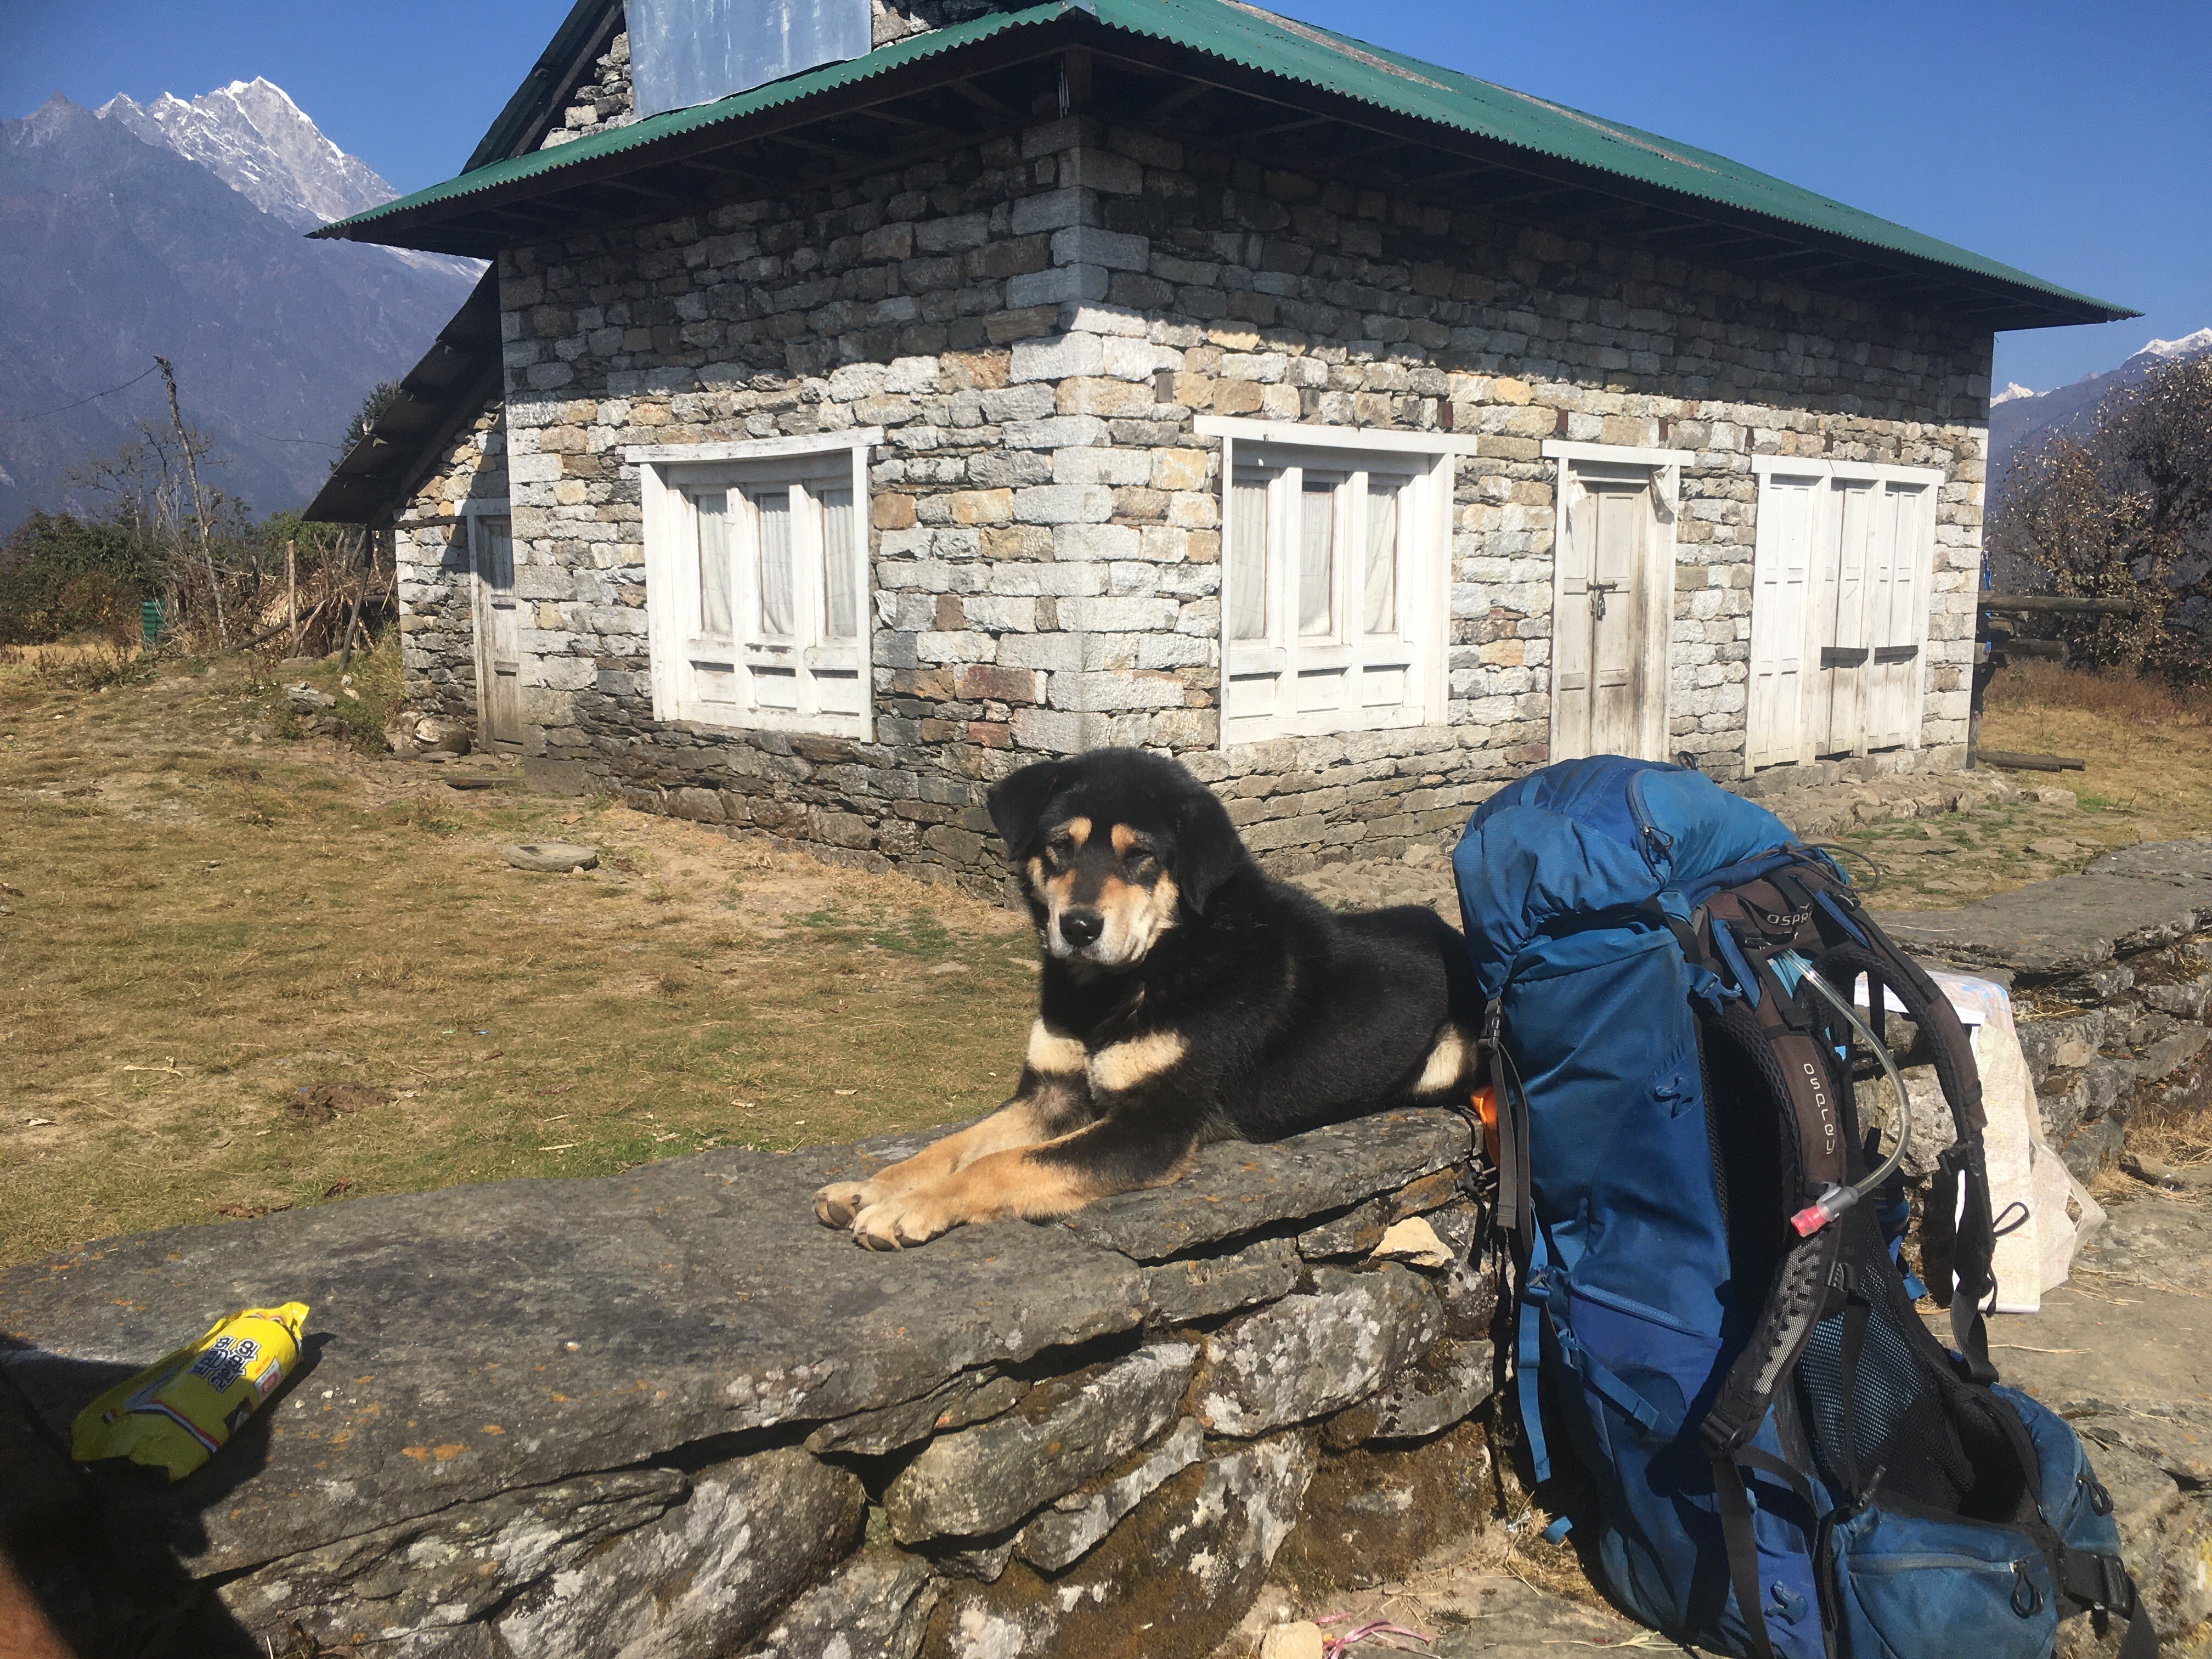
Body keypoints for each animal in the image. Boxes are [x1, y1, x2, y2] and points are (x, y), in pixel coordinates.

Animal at [814, 748, 1484, 1250]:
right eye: (1060, 845)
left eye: (1140, 856)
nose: (1079, 927)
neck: (1127, 980)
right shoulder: (1050, 1094)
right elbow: (954, 1146)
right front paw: (873, 1188)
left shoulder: (1152, 1126)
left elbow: (1003, 1163)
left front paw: (908, 1208)